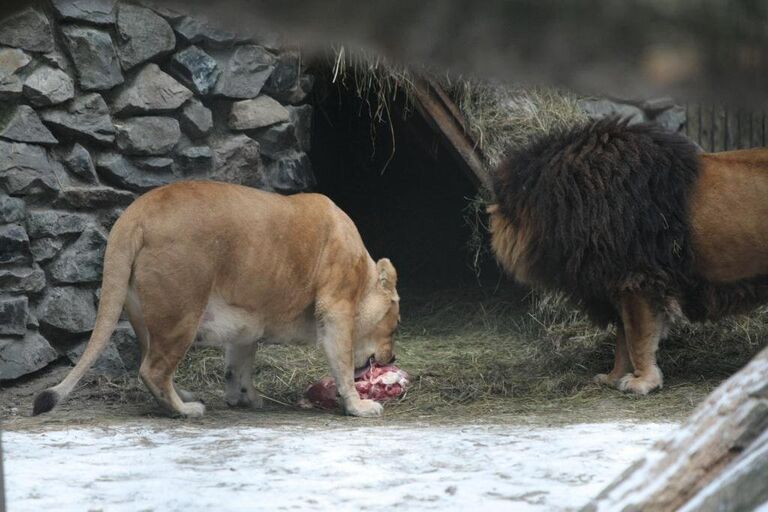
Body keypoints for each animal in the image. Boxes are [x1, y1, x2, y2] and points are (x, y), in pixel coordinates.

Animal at [33, 182, 400, 418]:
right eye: (396, 325)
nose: (392, 358)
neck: (363, 275)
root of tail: (134, 214)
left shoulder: (247, 319)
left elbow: (239, 364)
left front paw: (245, 398)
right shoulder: (335, 308)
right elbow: (342, 365)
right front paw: (359, 407)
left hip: (146, 315)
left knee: (151, 362)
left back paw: (184, 396)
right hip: (182, 312)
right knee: (152, 370)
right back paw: (186, 410)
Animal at [488, 119, 768, 396]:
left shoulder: (636, 280)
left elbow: (637, 337)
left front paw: (642, 382)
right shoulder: (614, 284)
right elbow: (623, 338)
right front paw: (613, 377)